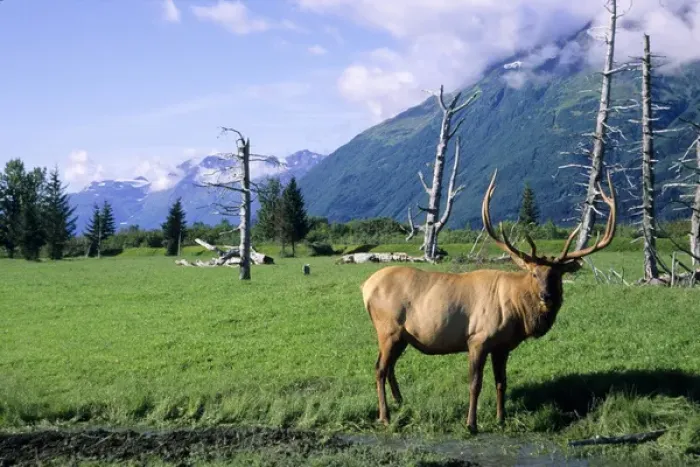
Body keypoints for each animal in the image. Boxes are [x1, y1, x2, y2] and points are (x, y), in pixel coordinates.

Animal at [361, 170, 617, 433]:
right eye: (534, 274)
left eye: (557, 274)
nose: (546, 296)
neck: (518, 314)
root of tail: (366, 287)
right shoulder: (478, 339)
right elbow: (475, 383)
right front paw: (471, 424)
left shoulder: (502, 346)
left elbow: (501, 382)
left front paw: (501, 418)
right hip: (388, 329)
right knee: (380, 368)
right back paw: (385, 416)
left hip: (402, 336)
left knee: (389, 366)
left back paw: (399, 402)